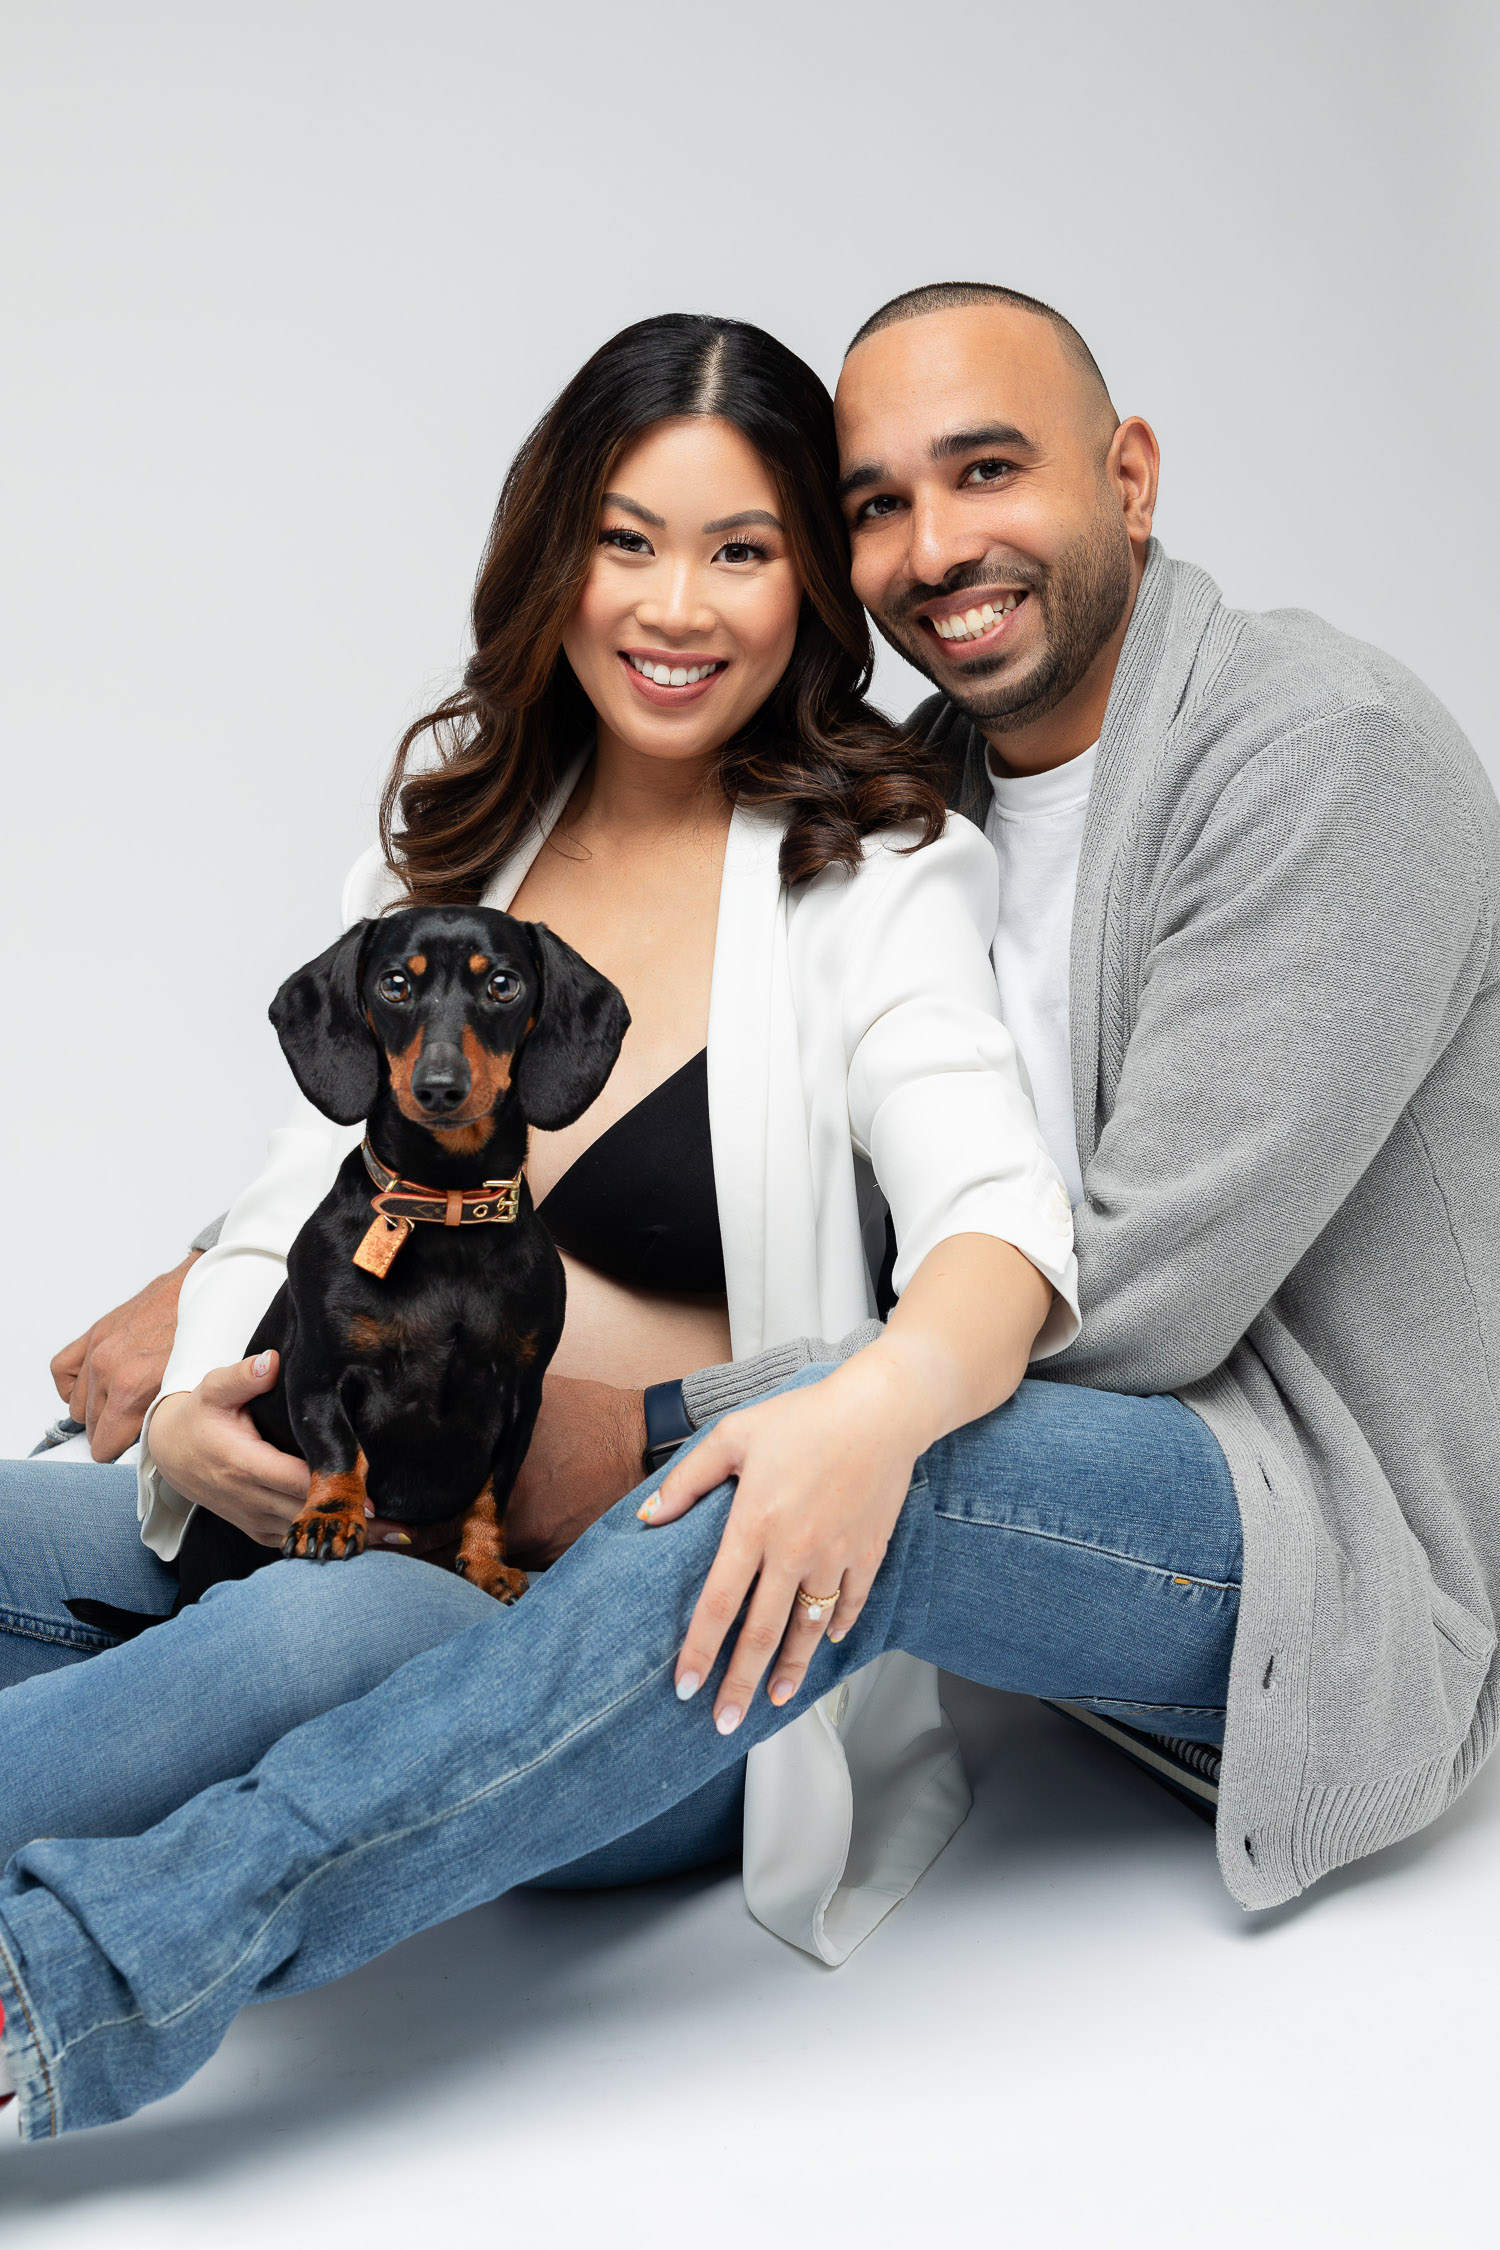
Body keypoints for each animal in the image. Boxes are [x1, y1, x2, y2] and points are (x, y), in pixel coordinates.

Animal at [173, 904, 629, 1611]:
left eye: (503, 985)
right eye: (394, 985)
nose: (439, 1087)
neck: (444, 1211)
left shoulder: (521, 1393)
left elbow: (493, 1491)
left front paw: (487, 1563)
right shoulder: (317, 1371)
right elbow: (341, 1452)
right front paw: (331, 1516)